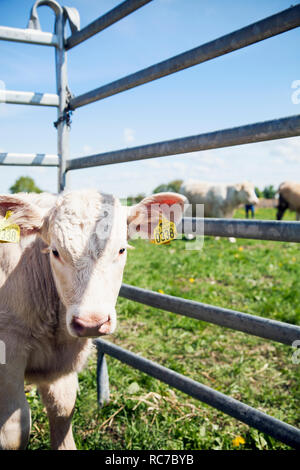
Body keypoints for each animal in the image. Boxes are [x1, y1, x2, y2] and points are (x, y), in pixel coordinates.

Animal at [0, 189, 188, 450]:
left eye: (121, 250)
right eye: (55, 251)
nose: (91, 322)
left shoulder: (61, 368)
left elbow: (63, 410)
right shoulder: (8, 354)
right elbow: (14, 432)